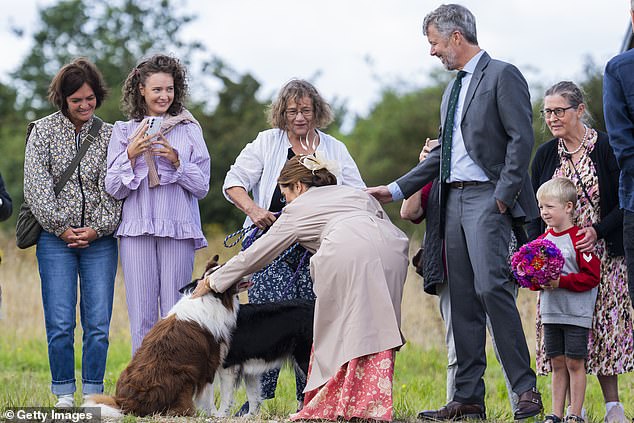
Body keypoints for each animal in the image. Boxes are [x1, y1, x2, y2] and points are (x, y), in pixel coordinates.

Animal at [82, 255, 243, 418]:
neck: (211, 298)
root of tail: (125, 403)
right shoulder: (209, 363)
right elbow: (208, 395)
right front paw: (214, 414)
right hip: (184, 374)